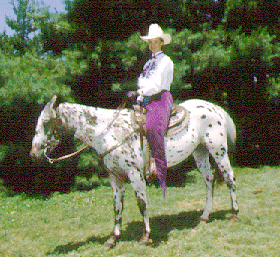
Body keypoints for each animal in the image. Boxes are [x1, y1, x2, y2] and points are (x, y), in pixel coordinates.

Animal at [31, 95, 241, 247]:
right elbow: (117, 207)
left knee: (230, 178)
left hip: (218, 150)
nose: (34, 154)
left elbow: (142, 204)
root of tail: (215, 108)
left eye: (46, 122)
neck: (112, 133)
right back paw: (204, 216)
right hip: (200, 152)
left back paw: (234, 214)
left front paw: (145, 236)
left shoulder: (135, 175)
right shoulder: (115, 177)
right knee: (209, 180)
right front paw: (112, 239)